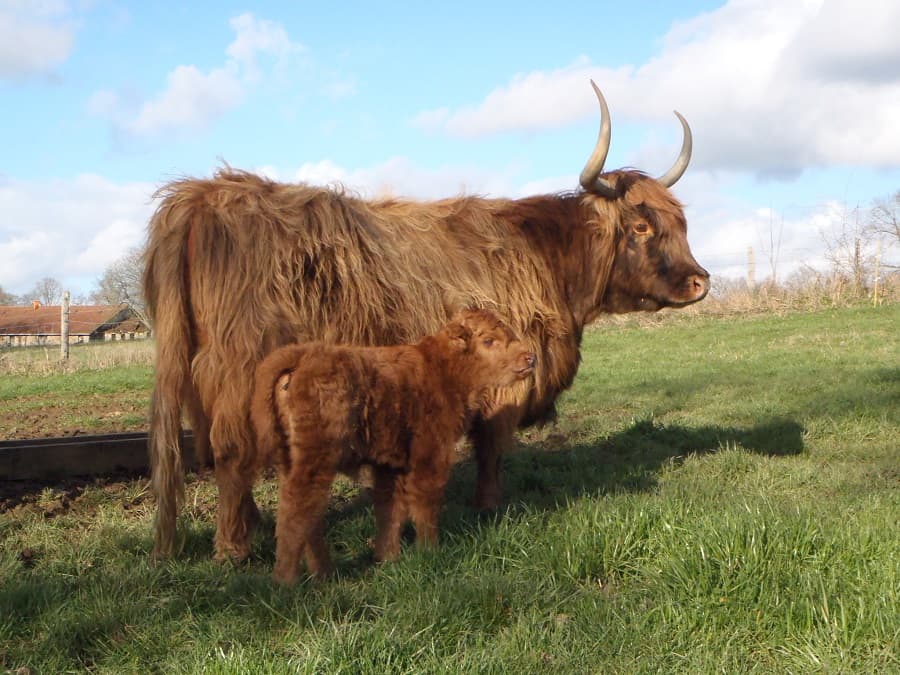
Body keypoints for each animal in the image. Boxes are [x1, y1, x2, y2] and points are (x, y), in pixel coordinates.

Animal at [143, 81, 709, 562]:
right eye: (641, 226)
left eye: (680, 224)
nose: (700, 281)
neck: (550, 260)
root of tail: (202, 195)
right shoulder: (506, 377)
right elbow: (491, 448)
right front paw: (489, 507)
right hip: (241, 367)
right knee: (231, 452)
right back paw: (232, 549)